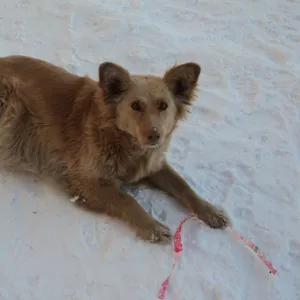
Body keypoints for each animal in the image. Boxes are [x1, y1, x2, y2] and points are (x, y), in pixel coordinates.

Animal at [0, 55, 230, 244]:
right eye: (135, 106)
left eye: (163, 106)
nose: (154, 135)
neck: (123, 141)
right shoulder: (85, 181)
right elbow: (127, 199)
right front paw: (152, 227)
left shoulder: (153, 164)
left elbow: (183, 186)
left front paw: (210, 211)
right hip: (11, 108)